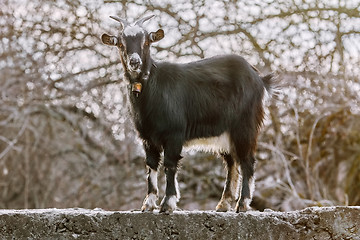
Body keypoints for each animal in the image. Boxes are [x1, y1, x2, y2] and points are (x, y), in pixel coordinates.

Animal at [100, 15, 274, 213]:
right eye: (121, 44)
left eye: (146, 42)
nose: (134, 62)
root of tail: (259, 78)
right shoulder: (147, 137)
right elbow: (151, 165)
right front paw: (148, 204)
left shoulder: (174, 133)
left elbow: (170, 164)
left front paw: (167, 203)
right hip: (226, 132)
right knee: (232, 162)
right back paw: (224, 203)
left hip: (245, 125)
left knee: (247, 161)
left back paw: (242, 203)